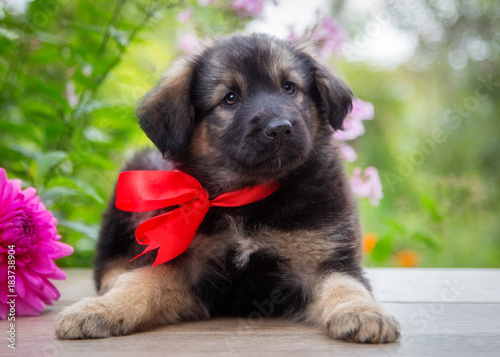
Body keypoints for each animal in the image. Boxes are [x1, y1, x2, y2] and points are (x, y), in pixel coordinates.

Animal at [54, 33, 400, 342]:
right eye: (230, 98)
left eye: (289, 87)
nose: (280, 129)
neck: (247, 195)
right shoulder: (186, 265)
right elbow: (139, 283)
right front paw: (101, 309)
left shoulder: (323, 259)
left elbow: (347, 285)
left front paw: (364, 313)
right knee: (111, 263)